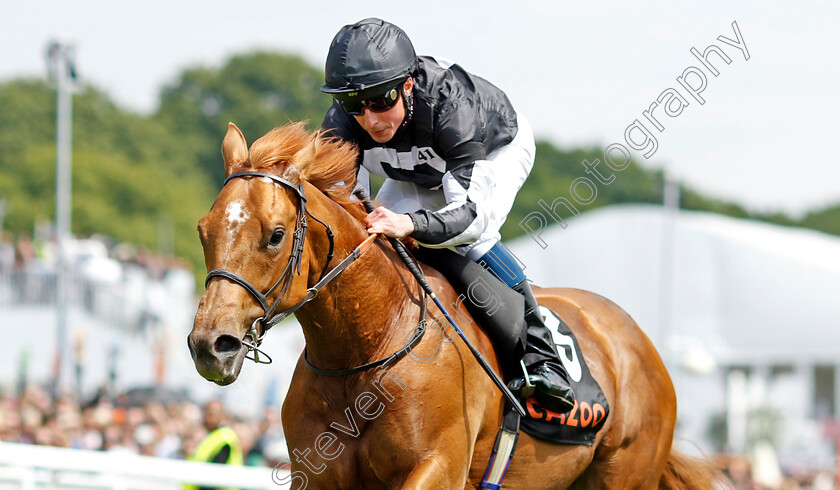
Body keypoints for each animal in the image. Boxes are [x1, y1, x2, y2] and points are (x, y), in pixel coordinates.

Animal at [187, 123, 720, 490]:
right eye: (202, 230)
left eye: (276, 235)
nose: (211, 345)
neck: (366, 350)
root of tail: (640, 344)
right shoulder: (315, 473)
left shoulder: (438, 468)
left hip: (624, 473)